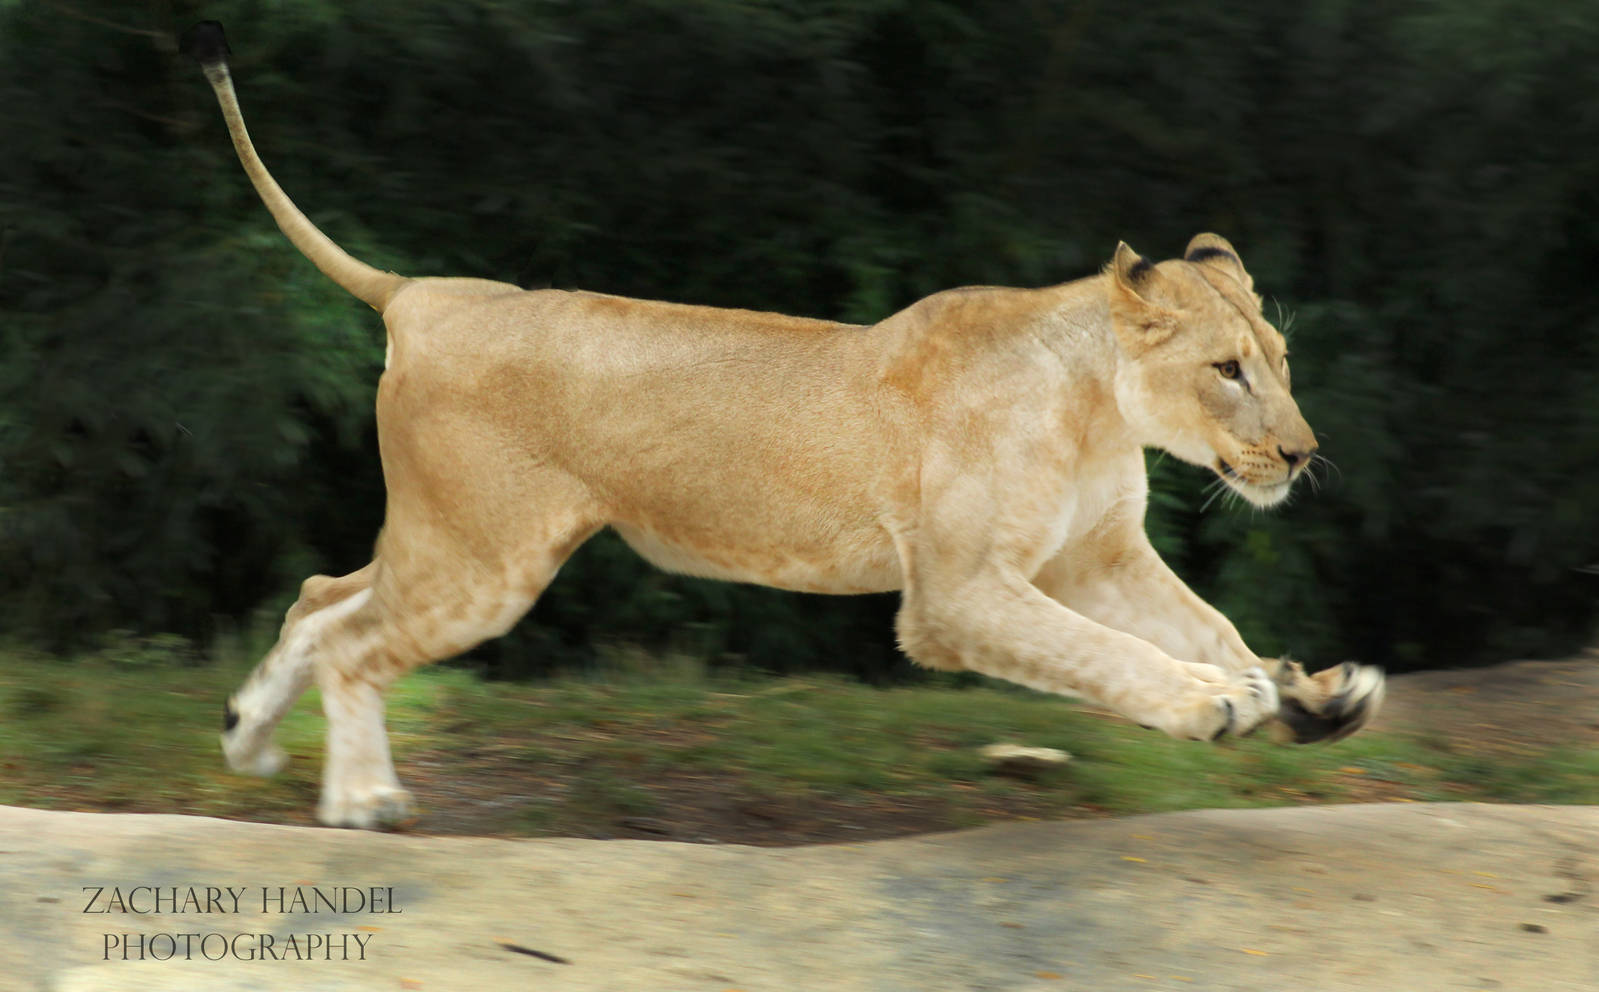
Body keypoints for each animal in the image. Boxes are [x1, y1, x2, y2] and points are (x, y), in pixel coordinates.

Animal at [183, 21, 1384, 829]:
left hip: (457, 541)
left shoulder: (1094, 555)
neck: (1100, 410)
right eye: (1226, 370)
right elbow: (1113, 652)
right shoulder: (959, 591)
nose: (1300, 453)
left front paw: (1303, 692)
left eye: (1279, 364)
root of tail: (422, 292)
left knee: (319, 595)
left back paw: (248, 737)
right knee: (352, 635)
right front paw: (1213, 702)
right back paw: (360, 798)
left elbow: (1203, 621)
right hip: (485, 556)